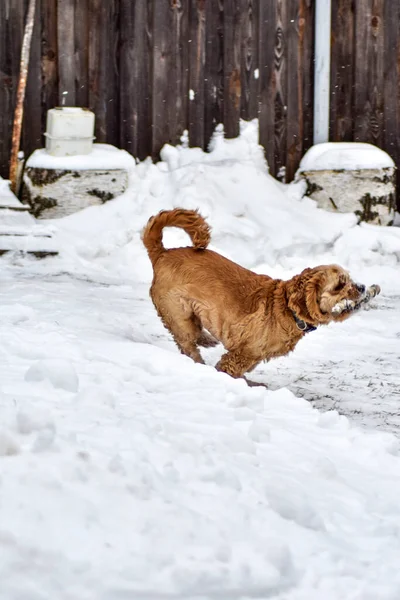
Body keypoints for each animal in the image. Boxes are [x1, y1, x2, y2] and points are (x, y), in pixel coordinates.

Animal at [142, 209, 380, 380]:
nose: (361, 287)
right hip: (178, 314)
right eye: (340, 285)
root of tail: (161, 254)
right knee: (188, 344)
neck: (286, 307)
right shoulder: (241, 356)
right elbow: (228, 368)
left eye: (350, 278)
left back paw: (207, 340)